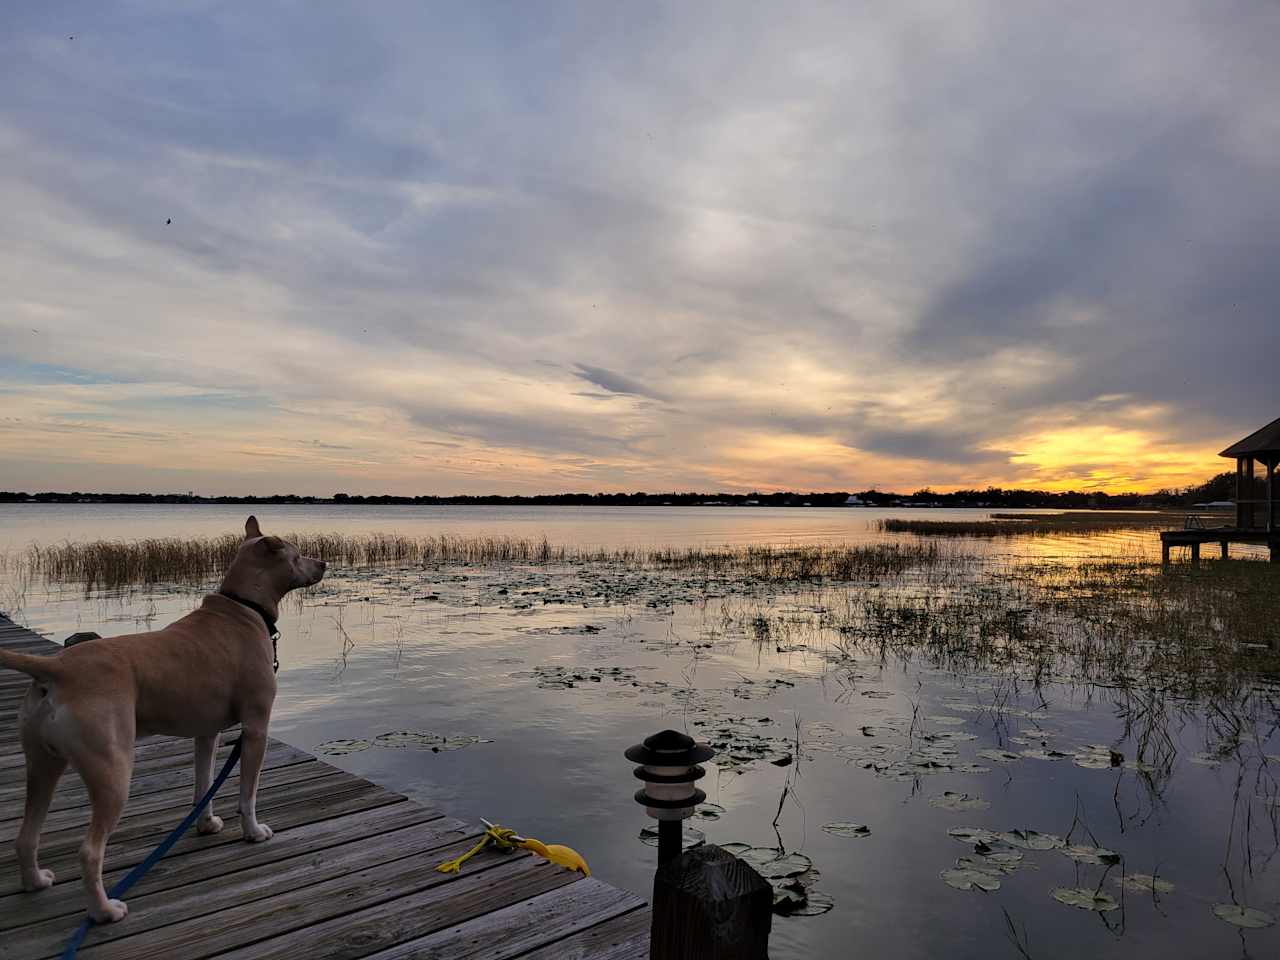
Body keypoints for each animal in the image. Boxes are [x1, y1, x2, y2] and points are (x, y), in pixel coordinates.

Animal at [0, 519, 325, 926]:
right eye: (297, 556)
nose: (324, 563)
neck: (243, 606)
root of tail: (56, 667)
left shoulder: (206, 732)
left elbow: (203, 785)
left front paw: (205, 825)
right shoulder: (256, 729)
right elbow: (247, 793)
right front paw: (253, 832)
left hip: (43, 765)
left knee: (26, 835)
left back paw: (36, 882)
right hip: (112, 772)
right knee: (89, 851)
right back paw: (105, 911)